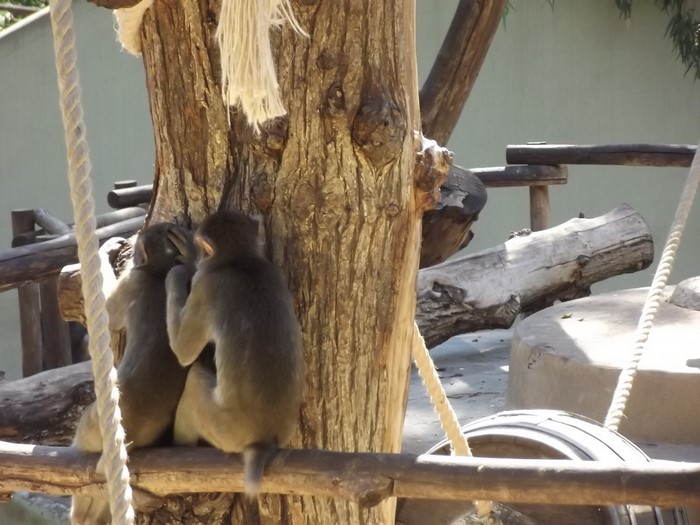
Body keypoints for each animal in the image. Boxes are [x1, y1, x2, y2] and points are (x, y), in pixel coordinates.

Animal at [165, 210, 305, 498]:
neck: (240, 261)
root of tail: (263, 440)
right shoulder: (274, 271)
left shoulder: (204, 288)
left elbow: (183, 352)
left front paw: (185, 262)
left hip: (222, 428)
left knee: (194, 379)